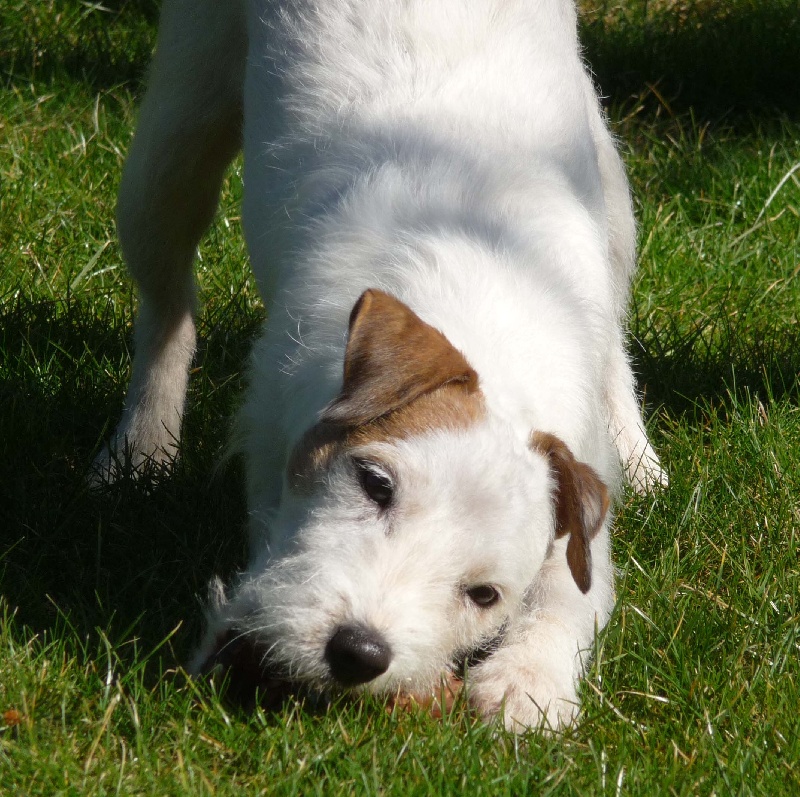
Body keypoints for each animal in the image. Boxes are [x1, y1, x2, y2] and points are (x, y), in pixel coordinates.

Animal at [98, 0, 664, 732]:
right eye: (375, 483)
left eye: (483, 594)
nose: (356, 653)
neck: (484, 306)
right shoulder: (275, 422)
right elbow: (273, 511)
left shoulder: (580, 513)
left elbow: (572, 596)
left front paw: (527, 684)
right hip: (173, 137)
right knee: (166, 303)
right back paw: (140, 444)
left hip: (609, 182)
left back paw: (639, 450)